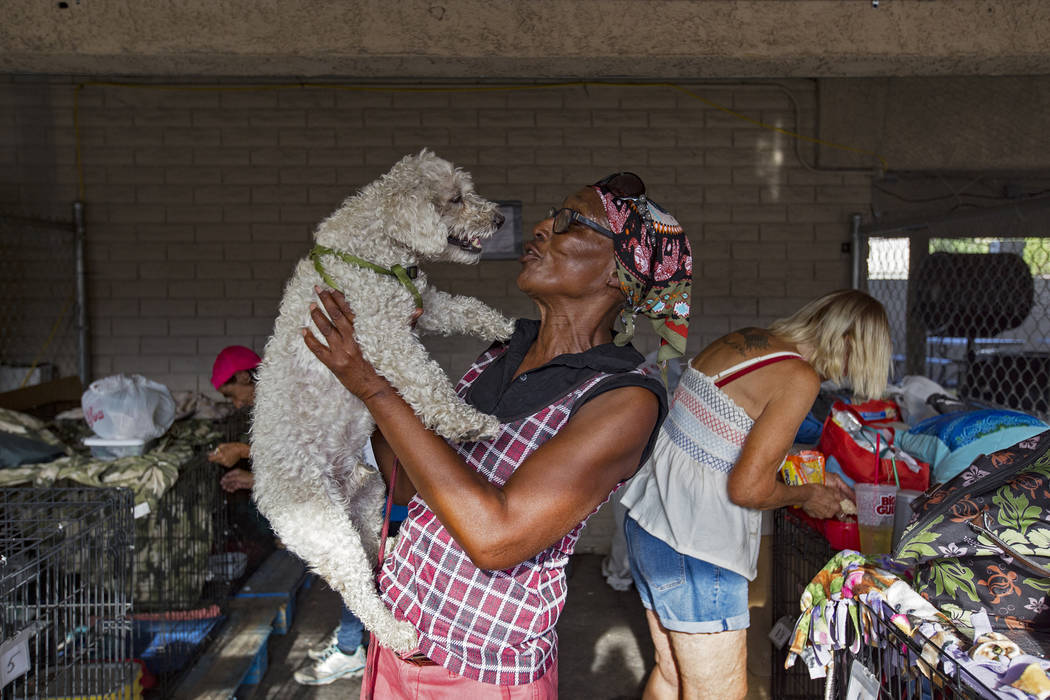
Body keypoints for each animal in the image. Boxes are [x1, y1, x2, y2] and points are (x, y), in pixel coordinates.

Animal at [254, 147, 516, 650]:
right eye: (455, 198)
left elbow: (462, 307)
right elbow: (426, 379)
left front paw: (503, 325)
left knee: (372, 548)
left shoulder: (419, 305)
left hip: (367, 496)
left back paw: (390, 548)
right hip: (324, 527)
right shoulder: (381, 332)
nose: (497, 218)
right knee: (357, 590)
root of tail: (263, 495)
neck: (375, 251)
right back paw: (396, 633)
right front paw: (468, 423)